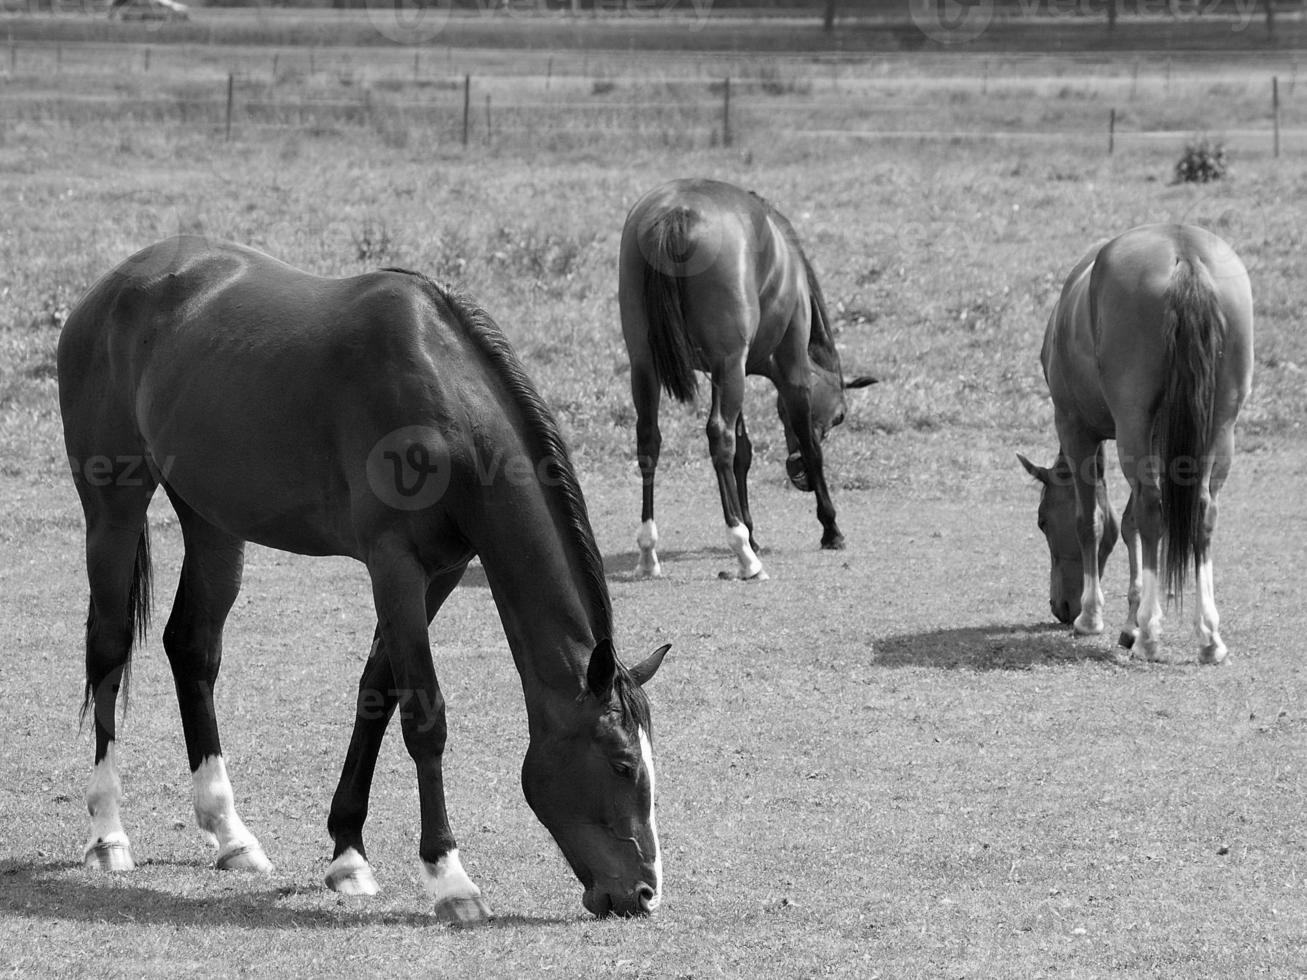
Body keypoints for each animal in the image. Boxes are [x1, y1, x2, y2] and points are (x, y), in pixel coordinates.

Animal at [58, 236, 674, 919]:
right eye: (621, 764)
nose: (644, 892)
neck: (447, 410)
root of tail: (115, 284)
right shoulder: (394, 565)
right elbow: (424, 716)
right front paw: (450, 879)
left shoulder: (441, 572)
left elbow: (377, 695)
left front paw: (348, 854)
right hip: (113, 508)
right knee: (108, 651)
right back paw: (108, 835)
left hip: (213, 521)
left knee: (192, 649)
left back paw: (231, 836)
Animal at [1014, 224, 1249, 669]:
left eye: (1041, 521)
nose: (1062, 607)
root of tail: (1184, 251)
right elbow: (1128, 523)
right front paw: (1131, 621)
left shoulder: (1076, 428)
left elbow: (1090, 520)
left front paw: (1094, 618)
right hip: (1220, 426)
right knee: (1202, 512)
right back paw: (1208, 636)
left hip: (1133, 423)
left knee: (1153, 509)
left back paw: (1151, 637)